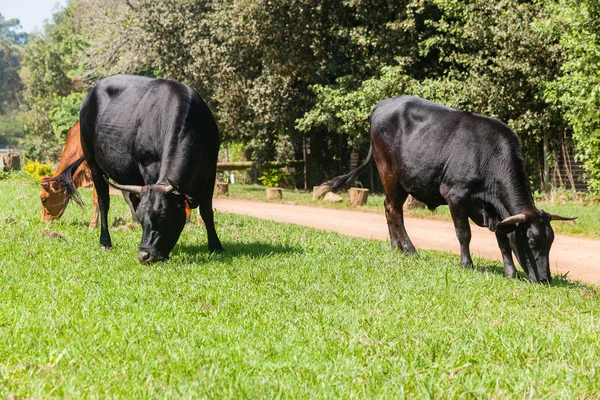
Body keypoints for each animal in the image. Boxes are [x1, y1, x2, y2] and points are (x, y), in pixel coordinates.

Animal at [58, 74, 224, 262]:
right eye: (143, 217)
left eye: (162, 215)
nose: (144, 255)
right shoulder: (149, 167)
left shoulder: (211, 172)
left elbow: (207, 211)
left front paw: (216, 246)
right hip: (93, 164)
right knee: (103, 201)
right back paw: (105, 242)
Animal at [316, 96, 576, 284]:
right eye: (531, 240)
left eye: (551, 240)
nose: (545, 279)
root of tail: (383, 103)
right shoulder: (455, 195)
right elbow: (464, 233)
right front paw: (466, 264)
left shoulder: (495, 208)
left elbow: (503, 239)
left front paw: (510, 273)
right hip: (388, 172)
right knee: (394, 211)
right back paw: (410, 250)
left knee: (389, 208)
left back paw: (395, 247)